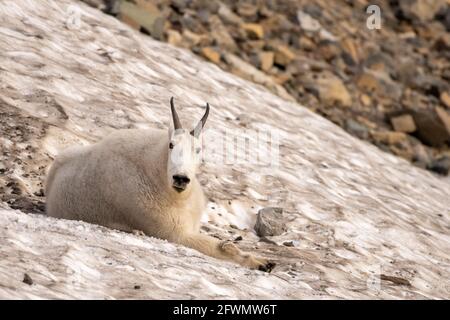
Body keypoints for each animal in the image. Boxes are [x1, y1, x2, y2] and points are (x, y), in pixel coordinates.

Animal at [47, 96, 276, 272]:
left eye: (198, 149)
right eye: (171, 145)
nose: (181, 178)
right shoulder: (175, 234)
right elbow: (222, 247)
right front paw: (262, 263)